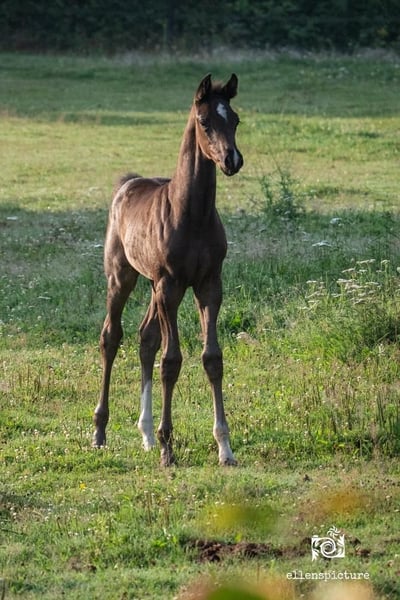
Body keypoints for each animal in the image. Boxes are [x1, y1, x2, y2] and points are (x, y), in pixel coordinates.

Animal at [93, 73, 243, 466]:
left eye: (235, 120)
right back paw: (100, 431)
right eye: (205, 121)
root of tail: (127, 183)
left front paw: (225, 447)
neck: (191, 214)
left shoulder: (209, 285)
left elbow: (212, 358)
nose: (232, 159)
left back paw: (144, 433)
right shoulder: (172, 285)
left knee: (145, 339)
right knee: (111, 337)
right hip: (124, 277)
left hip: (153, 285)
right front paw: (167, 448)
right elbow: (172, 360)